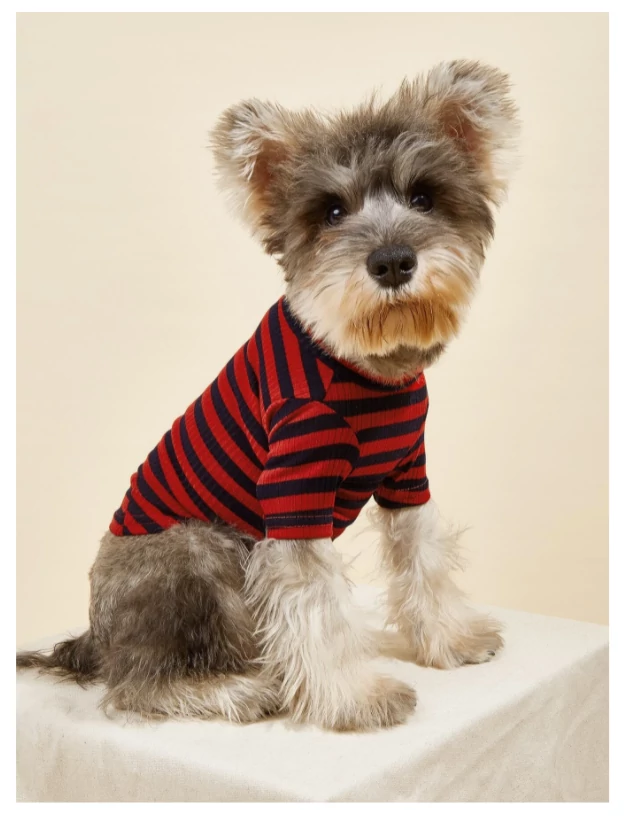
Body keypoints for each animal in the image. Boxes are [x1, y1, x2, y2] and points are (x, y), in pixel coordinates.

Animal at [17, 60, 519, 731]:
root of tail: (95, 638)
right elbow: (315, 604)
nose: (391, 261)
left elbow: (423, 555)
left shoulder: (407, 476)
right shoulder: (294, 490)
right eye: (331, 211)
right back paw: (238, 690)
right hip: (198, 548)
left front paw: (450, 639)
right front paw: (353, 697)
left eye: (423, 197)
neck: (363, 366)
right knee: (137, 686)